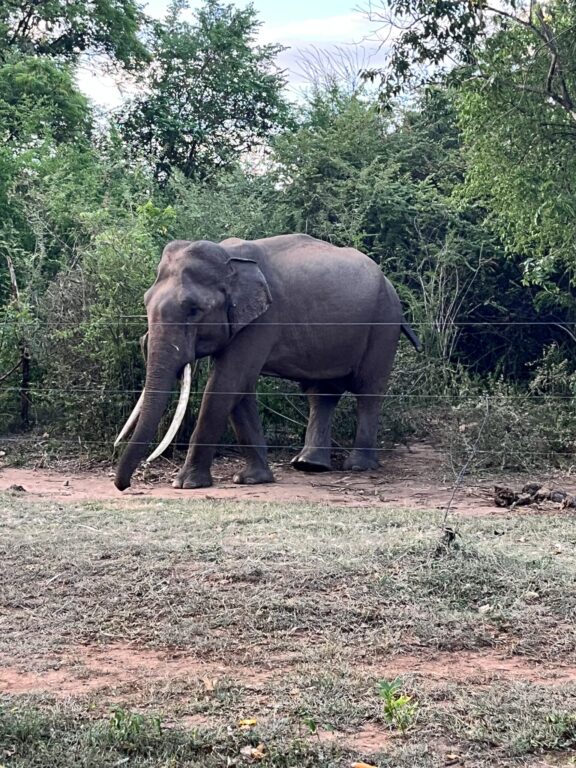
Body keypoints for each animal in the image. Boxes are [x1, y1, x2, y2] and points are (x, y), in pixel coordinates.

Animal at [112, 232, 420, 492]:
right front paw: (252, 479)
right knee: (322, 393)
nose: (123, 486)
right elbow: (240, 388)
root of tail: (390, 285)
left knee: (368, 390)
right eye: (145, 302)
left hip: (384, 322)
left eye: (193, 310)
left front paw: (186, 484)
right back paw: (309, 465)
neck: (229, 258)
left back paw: (358, 466)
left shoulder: (263, 320)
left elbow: (227, 382)